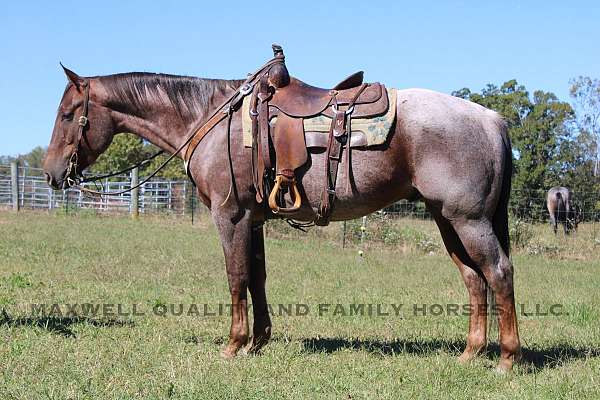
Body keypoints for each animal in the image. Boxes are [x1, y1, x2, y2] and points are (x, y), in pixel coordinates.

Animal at [43, 57, 520, 370]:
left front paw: (234, 345)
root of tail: (492, 119)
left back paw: (506, 359)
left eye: (68, 114)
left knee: (498, 272)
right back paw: (470, 354)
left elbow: (236, 277)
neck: (211, 119)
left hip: (468, 220)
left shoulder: (230, 216)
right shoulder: (252, 220)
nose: (51, 173)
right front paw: (258, 342)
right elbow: (257, 277)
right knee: (473, 279)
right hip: (447, 221)